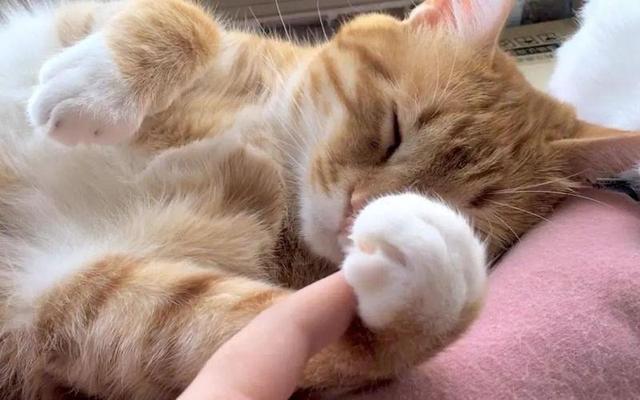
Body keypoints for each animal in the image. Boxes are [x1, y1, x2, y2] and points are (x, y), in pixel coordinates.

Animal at [0, 0, 638, 399]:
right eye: (393, 130)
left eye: (472, 211)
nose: (358, 211)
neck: (276, 152)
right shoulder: (69, 22)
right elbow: (184, 20)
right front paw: (93, 87)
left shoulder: (64, 293)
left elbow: (342, 348)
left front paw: (439, 272)